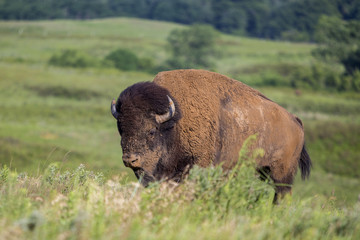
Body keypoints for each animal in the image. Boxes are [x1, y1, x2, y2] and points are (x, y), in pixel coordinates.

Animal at [111, 68, 310, 200]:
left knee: (281, 195)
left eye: (151, 131)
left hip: (282, 174)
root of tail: (295, 120)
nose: (130, 159)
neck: (175, 123)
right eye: (121, 129)